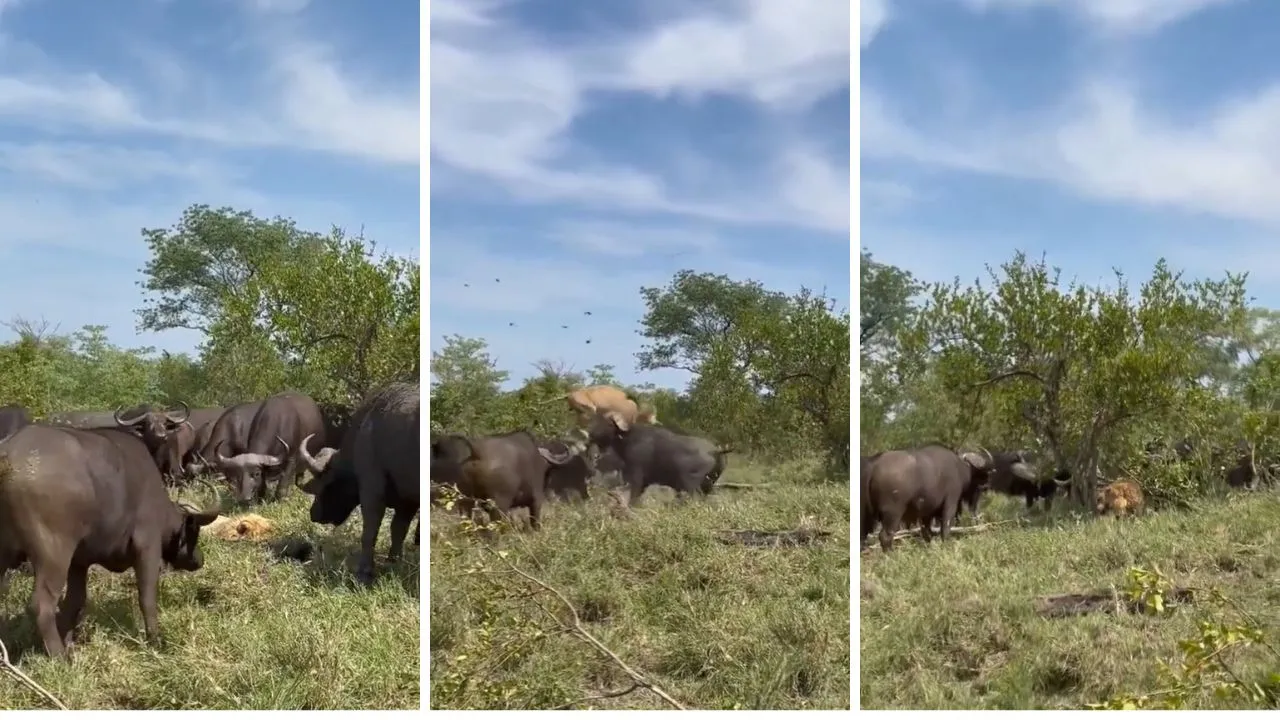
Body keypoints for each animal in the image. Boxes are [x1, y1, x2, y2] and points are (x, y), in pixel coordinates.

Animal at [0, 422, 221, 661]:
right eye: (194, 532)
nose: (199, 559)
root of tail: (9, 456)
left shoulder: (79, 562)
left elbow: (75, 601)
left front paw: (69, 642)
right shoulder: (148, 548)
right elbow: (147, 597)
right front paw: (156, 640)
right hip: (53, 555)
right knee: (42, 605)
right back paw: (59, 658)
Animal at [298, 381, 419, 584]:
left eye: (322, 487)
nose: (313, 513)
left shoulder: (371, 491)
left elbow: (370, 533)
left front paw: (364, 573)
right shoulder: (408, 501)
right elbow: (398, 530)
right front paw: (392, 562)